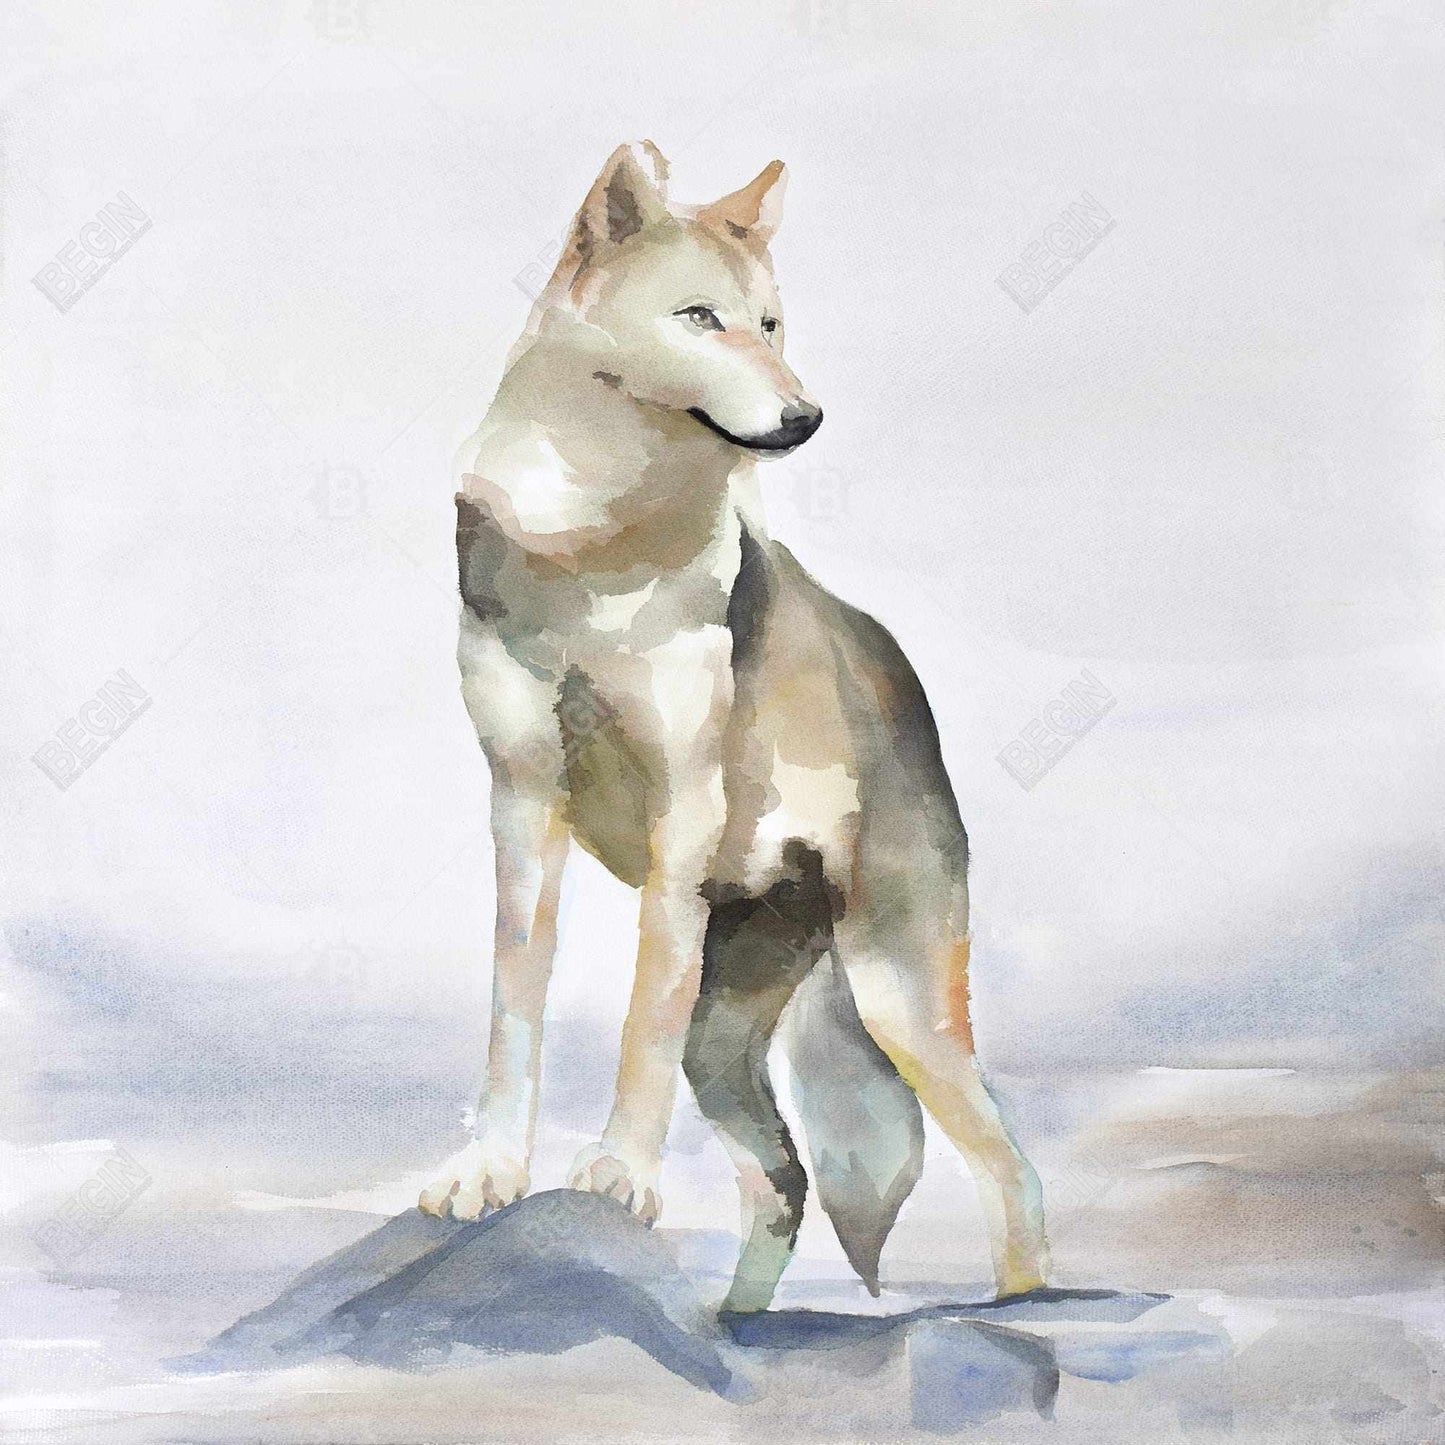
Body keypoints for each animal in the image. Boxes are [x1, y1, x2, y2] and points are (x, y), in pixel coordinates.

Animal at [419, 142, 1050, 1312]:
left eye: (771, 324)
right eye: (699, 317)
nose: (805, 418)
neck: (596, 541)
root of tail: (896, 669)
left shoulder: (679, 819)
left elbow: (637, 1017)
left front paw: (618, 1172)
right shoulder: (520, 803)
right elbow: (513, 1008)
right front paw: (486, 1170)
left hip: (901, 1007)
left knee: (1010, 1171)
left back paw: (1032, 1307)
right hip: (731, 1042)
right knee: (785, 1182)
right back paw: (733, 1325)